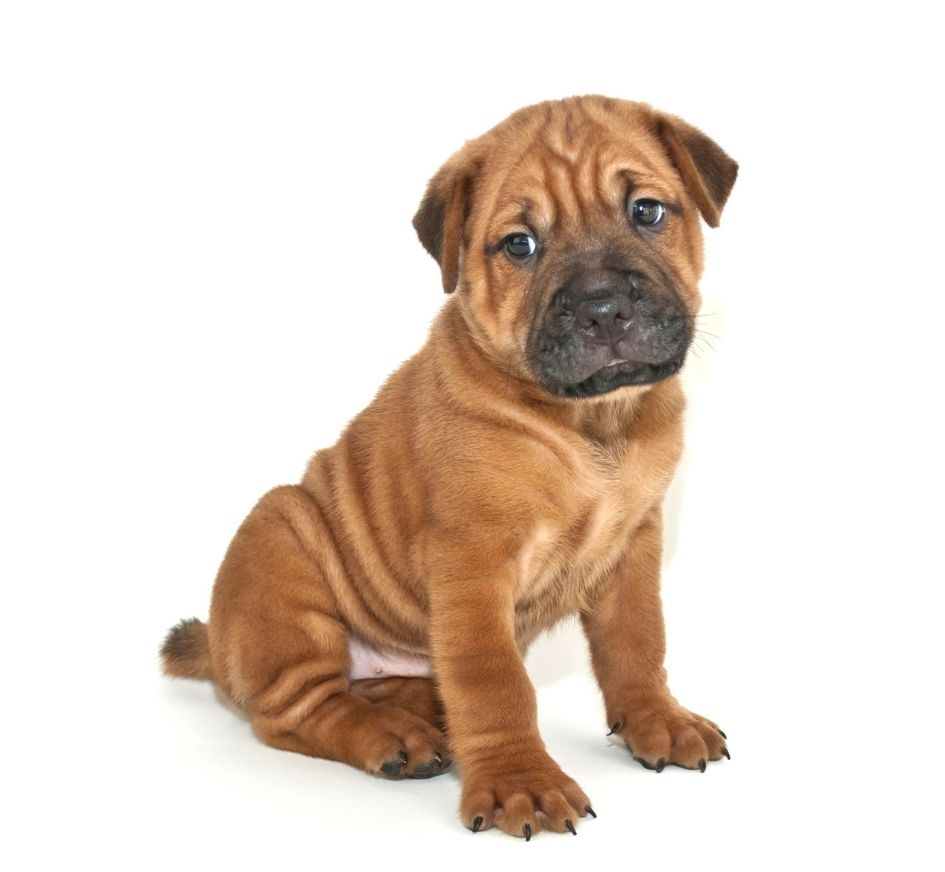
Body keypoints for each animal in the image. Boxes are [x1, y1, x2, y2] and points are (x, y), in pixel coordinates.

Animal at [162, 95, 736, 836]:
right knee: (295, 711)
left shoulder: (632, 547)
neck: (591, 422)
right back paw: (390, 737)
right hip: (281, 546)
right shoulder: (473, 563)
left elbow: (637, 642)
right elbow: (494, 683)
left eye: (646, 211)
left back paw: (420, 711)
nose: (604, 307)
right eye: (519, 244)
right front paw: (520, 781)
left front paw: (658, 720)